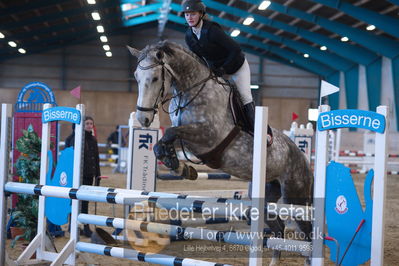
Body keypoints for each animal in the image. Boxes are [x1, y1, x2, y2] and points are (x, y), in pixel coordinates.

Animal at [128, 40, 312, 264]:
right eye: (136, 77)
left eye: (155, 78)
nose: (143, 119)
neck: (192, 91)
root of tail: (303, 158)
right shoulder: (189, 138)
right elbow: (162, 143)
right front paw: (179, 166)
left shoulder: (208, 135)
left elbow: (171, 132)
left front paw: (178, 165)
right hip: (266, 193)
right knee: (279, 228)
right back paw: (273, 261)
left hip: (295, 196)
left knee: (307, 232)